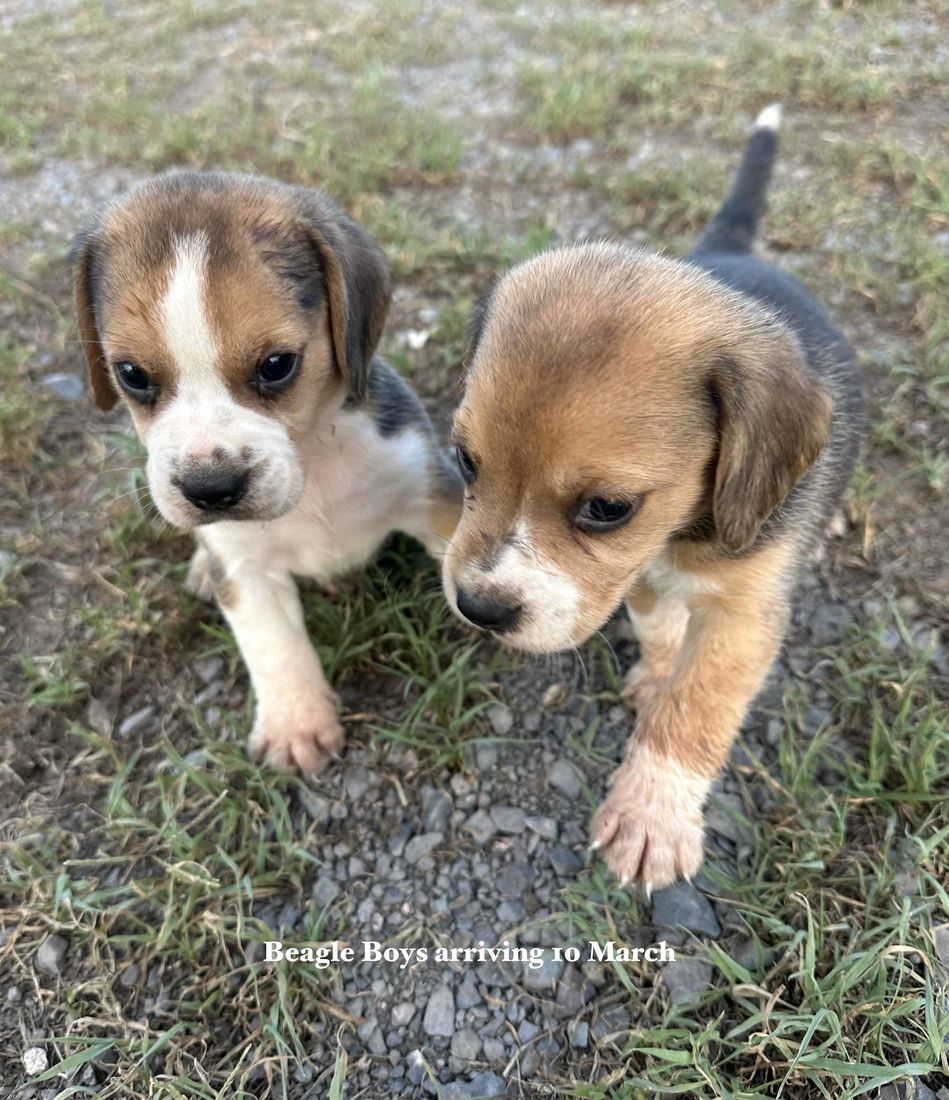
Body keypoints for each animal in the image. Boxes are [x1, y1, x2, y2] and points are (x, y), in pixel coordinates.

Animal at [73, 173, 459, 774]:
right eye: (131, 374)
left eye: (277, 365)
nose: (210, 490)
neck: (312, 465)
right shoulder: (244, 569)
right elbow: (274, 644)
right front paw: (295, 724)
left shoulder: (429, 491)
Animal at [442, 105, 866, 893]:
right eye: (464, 460)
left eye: (607, 508)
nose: (478, 608)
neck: (680, 539)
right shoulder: (629, 576)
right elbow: (657, 623)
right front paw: (658, 672)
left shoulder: (742, 618)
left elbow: (693, 712)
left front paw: (650, 814)